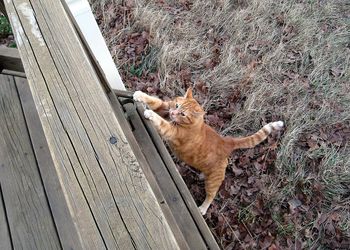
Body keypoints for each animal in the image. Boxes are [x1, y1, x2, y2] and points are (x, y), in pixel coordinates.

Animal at [133, 88, 284, 215]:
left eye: (183, 114)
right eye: (176, 106)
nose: (173, 113)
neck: (193, 124)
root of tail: (227, 141)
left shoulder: (171, 130)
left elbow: (160, 121)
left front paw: (149, 113)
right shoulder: (164, 107)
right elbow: (155, 101)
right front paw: (140, 95)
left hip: (213, 181)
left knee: (211, 195)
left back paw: (203, 208)